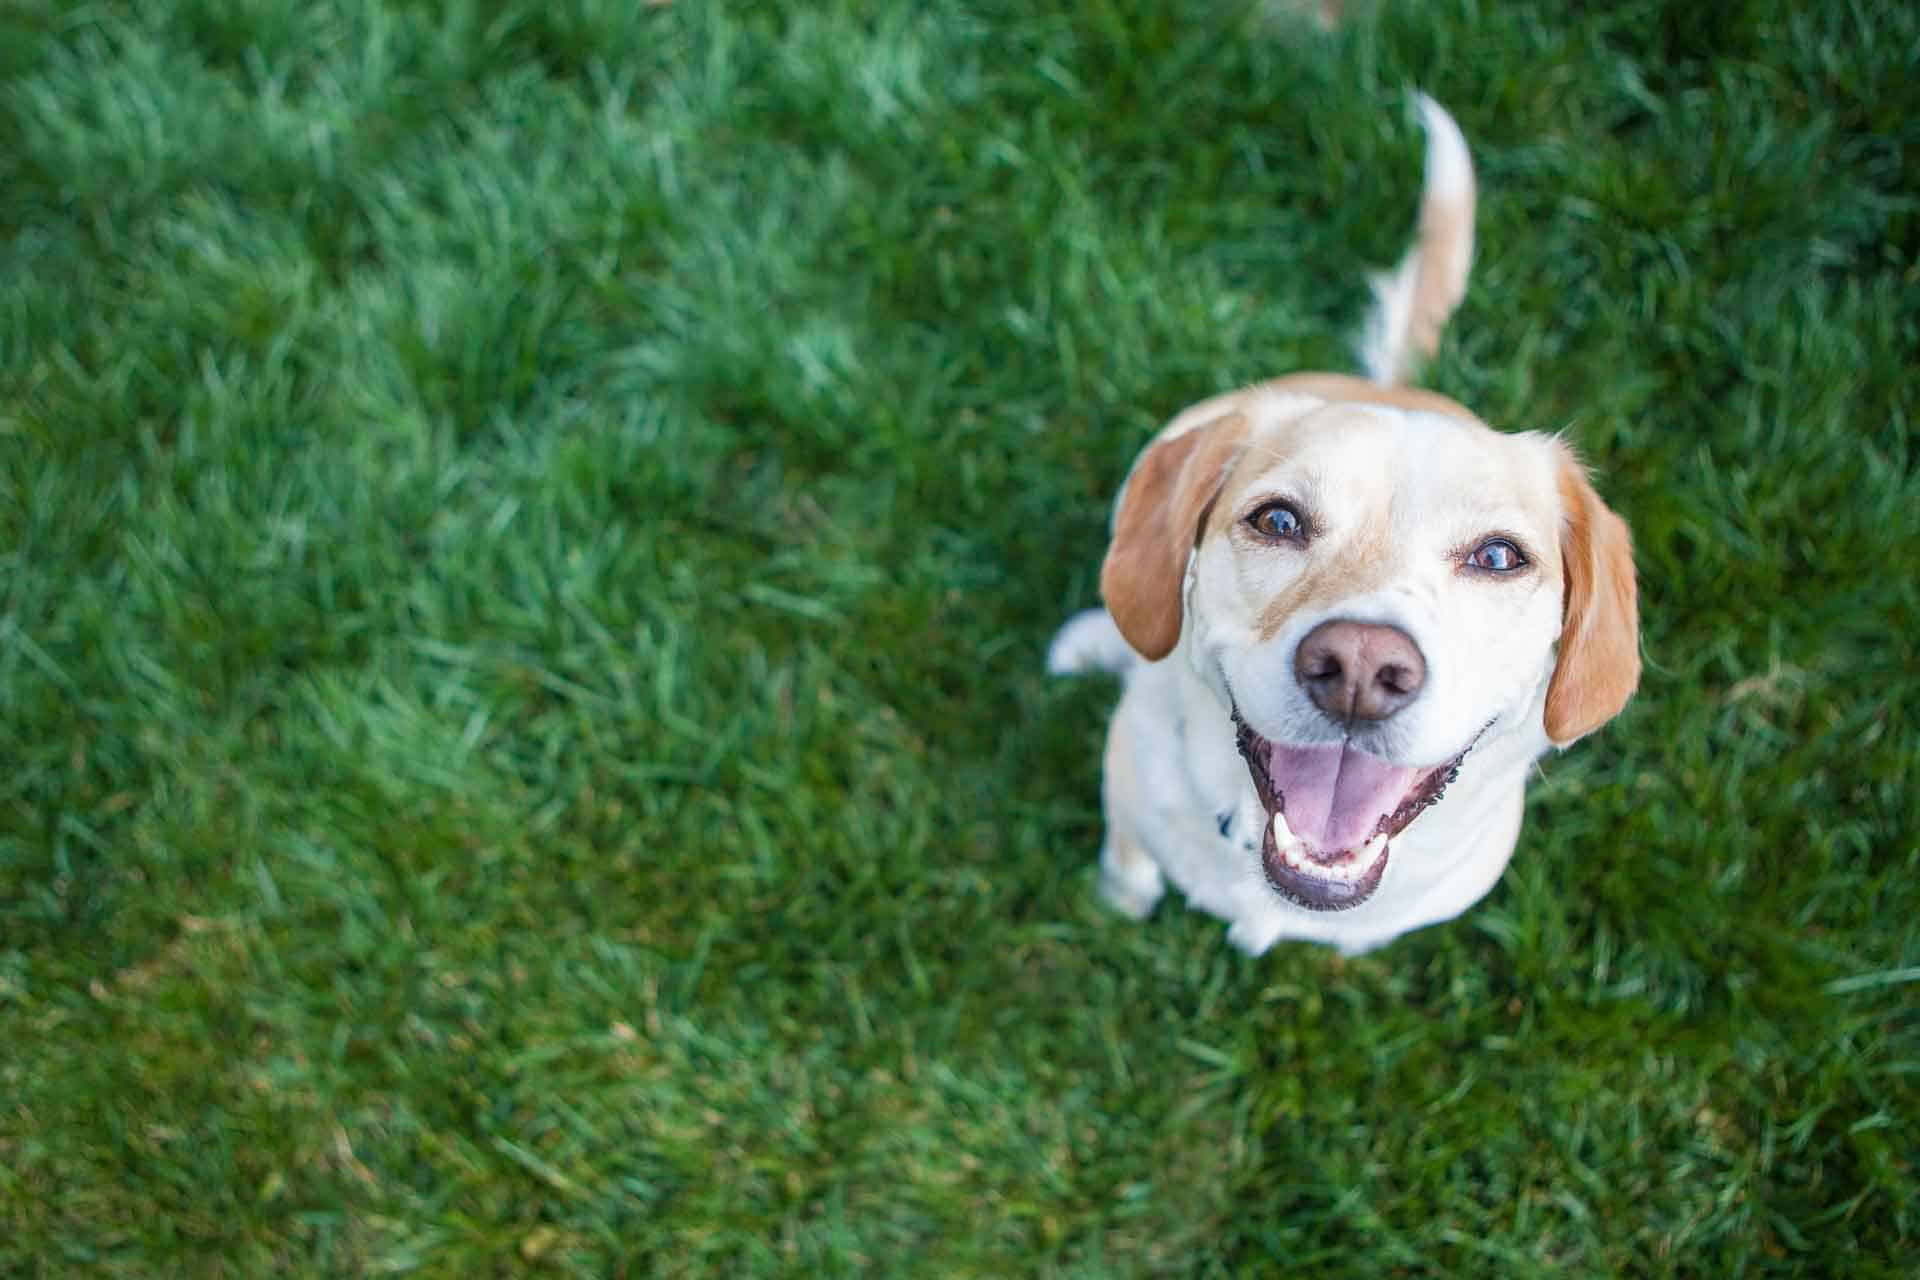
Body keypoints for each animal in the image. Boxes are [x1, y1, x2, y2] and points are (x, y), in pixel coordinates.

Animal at [1044, 100, 1643, 955]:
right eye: (1278, 519)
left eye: (1499, 557)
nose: (1360, 668)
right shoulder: (1129, 804)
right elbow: (1128, 866)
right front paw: (1117, 903)